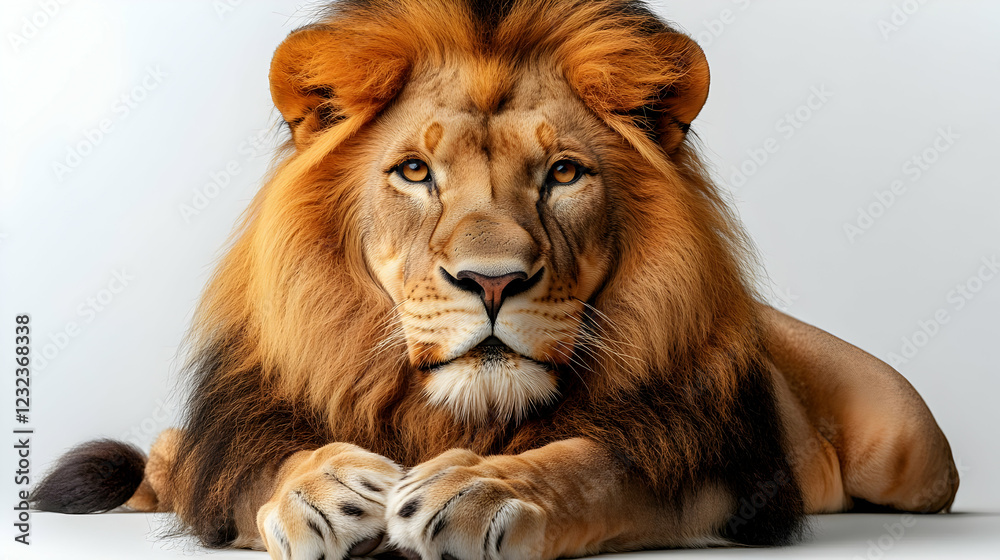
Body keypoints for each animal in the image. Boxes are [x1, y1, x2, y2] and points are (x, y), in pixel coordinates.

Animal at [33, 1, 958, 558]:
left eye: (563, 174)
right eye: (414, 172)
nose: (490, 282)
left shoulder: (713, 469)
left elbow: (594, 462)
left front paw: (483, 488)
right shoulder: (237, 445)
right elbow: (269, 464)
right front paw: (325, 485)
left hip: (907, 453)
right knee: (166, 453)